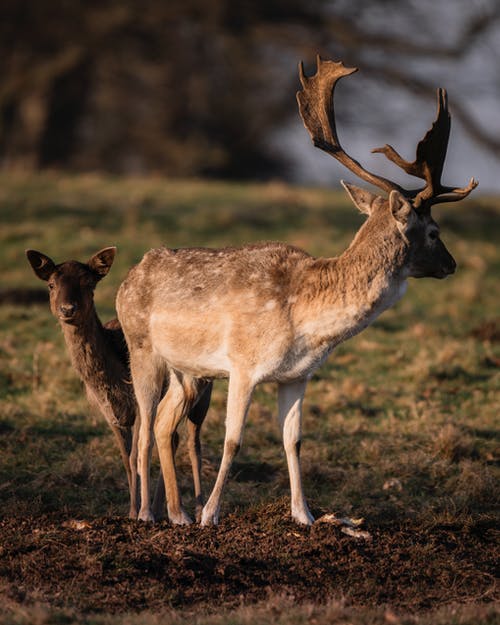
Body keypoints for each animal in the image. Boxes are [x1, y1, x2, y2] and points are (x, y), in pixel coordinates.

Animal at [26, 246, 212, 520]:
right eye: (51, 284)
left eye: (89, 283)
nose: (67, 309)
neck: (110, 380)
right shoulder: (108, 411)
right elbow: (126, 458)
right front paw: (133, 511)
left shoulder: (136, 403)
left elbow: (136, 455)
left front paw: (139, 513)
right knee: (172, 436)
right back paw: (162, 508)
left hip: (202, 393)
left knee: (193, 442)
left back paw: (197, 511)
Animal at [115, 57, 478, 528]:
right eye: (434, 231)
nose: (452, 264)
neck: (306, 321)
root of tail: (127, 278)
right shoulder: (243, 364)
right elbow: (233, 439)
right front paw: (211, 514)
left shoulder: (297, 375)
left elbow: (294, 441)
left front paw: (304, 515)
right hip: (141, 348)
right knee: (141, 427)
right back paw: (145, 514)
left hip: (189, 370)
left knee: (162, 423)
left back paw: (176, 515)